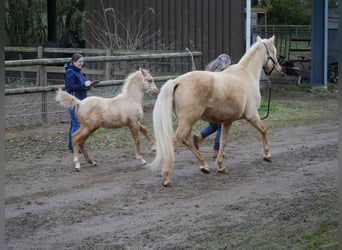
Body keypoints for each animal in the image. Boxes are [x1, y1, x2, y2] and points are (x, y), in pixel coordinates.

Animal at [151, 36, 282, 187]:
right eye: (273, 52)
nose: (279, 69)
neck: (246, 74)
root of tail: (177, 81)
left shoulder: (227, 121)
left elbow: (223, 141)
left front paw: (220, 166)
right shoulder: (251, 115)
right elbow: (263, 130)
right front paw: (267, 155)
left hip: (186, 121)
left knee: (187, 140)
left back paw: (204, 166)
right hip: (188, 120)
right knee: (177, 141)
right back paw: (166, 178)